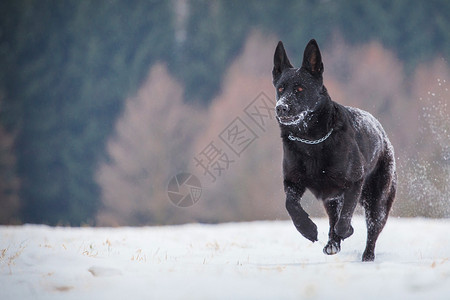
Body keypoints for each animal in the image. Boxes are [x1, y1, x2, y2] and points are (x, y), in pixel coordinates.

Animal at [272, 39, 396, 260]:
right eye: (280, 88)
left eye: (300, 89)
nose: (281, 108)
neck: (310, 141)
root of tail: (384, 136)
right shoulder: (293, 182)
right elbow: (291, 206)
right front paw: (308, 229)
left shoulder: (354, 182)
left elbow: (345, 217)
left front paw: (346, 231)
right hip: (331, 199)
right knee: (332, 220)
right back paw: (332, 244)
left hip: (377, 200)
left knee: (372, 229)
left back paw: (367, 256)